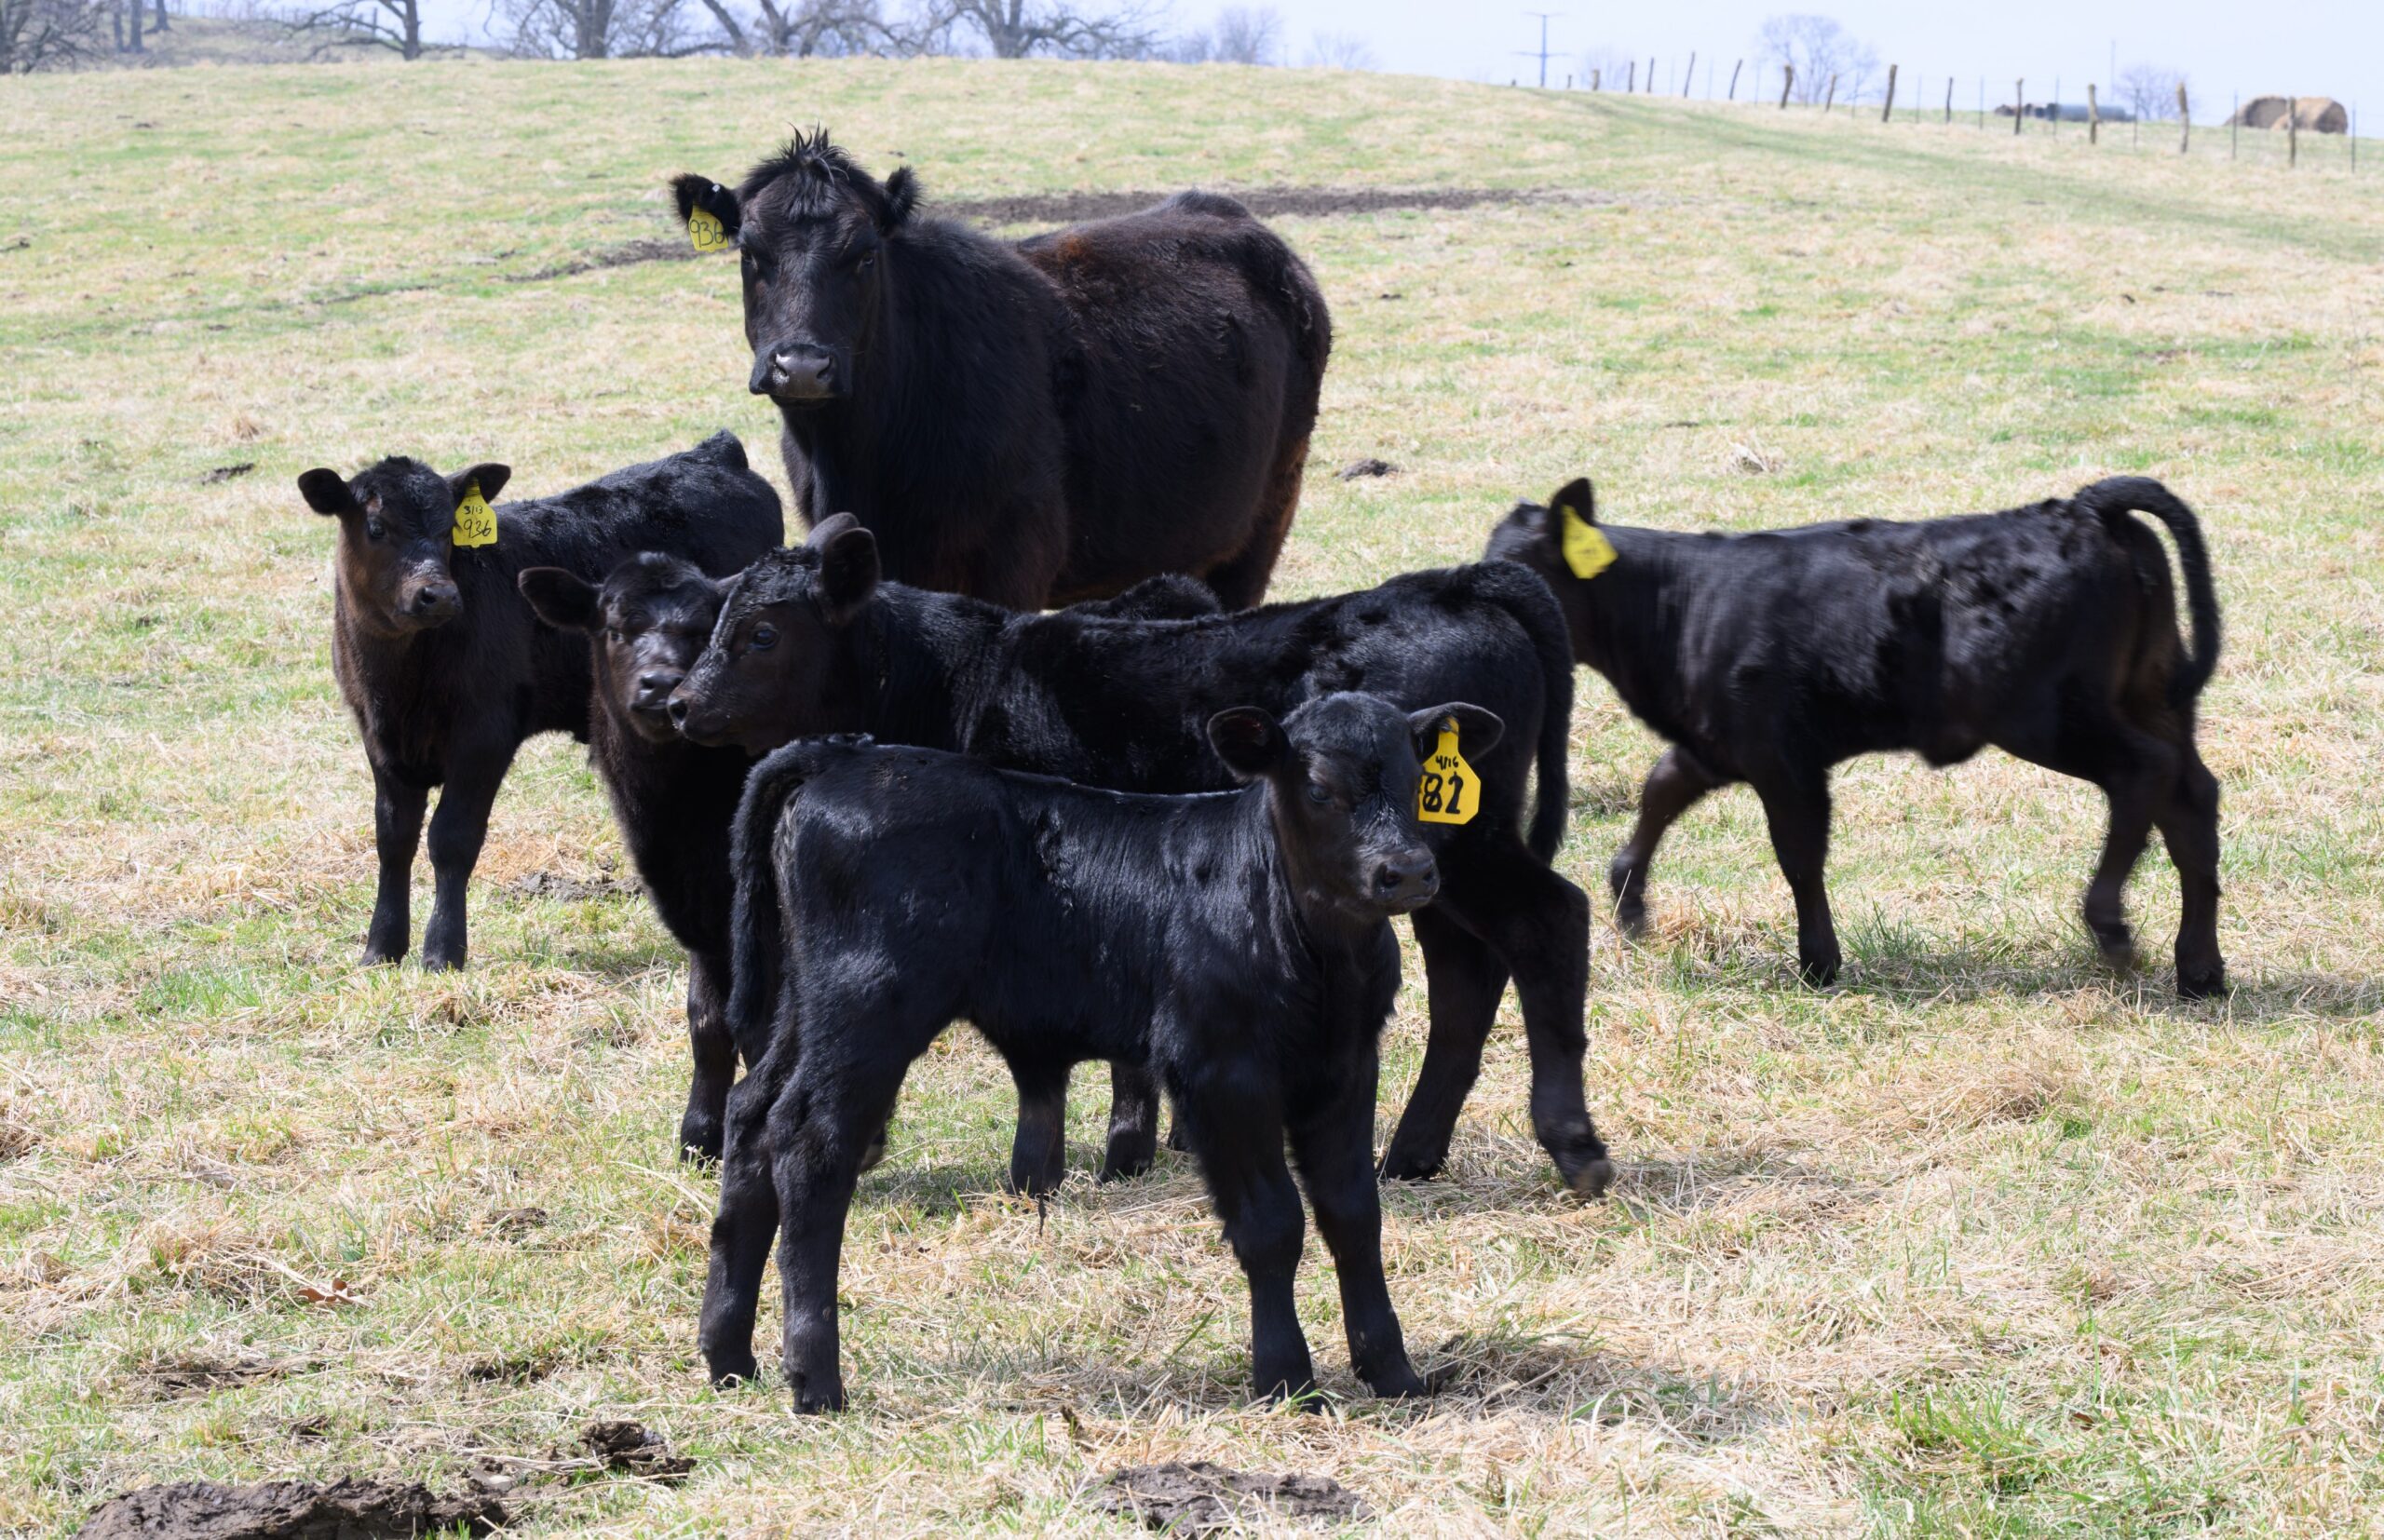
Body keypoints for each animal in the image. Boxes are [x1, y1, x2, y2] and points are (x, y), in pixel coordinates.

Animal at [295, 432, 781, 971]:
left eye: (448, 531)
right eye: (376, 527)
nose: (438, 595)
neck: (401, 682)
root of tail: (716, 451)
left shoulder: (485, 733)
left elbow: (451, 838)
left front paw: (442, 952)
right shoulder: (378, 738)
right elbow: (393, 838)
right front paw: (380, 949)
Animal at [668, 519, 1614, 1198]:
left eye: (760, 634)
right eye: (715, 624)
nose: (679, 702)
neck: (959, 679)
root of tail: (1453, 583)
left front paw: (1120, 1150)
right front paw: (1140, 1147)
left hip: (1464, 844)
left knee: (1548, 923)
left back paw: (1573, 1146)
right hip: (1433, 864)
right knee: (1466, 974)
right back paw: (1412, 1155)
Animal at [702, 692, 1488, 1411]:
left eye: (1418, 782)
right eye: (1319, 788)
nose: (1407, 872)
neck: (1315, 953)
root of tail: (844, 755)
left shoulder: (1346, 1068)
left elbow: (1354, 1217)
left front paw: (1393, 1372)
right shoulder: (1220, 1070)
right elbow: (1273, 1225)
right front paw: (1287, 1381)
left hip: (808, 1007)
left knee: (752, 1119)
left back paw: (728, 1356)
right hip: (867, 1008)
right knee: (810, 1144)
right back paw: (815, 1381)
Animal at [1485, 475, 2225, 996]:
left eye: (1527, 568)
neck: (1678, 601)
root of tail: (2085, 507)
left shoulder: (1780, 757)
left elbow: (1798, 852)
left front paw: (1818, 963)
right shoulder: (1715, 742)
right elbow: (1660, 791)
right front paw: (1630, 904)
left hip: (2047, 715)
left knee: (2144, 774)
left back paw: (2111, 926)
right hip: (2150, 697)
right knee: (2191, 802)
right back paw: (2199, 970)